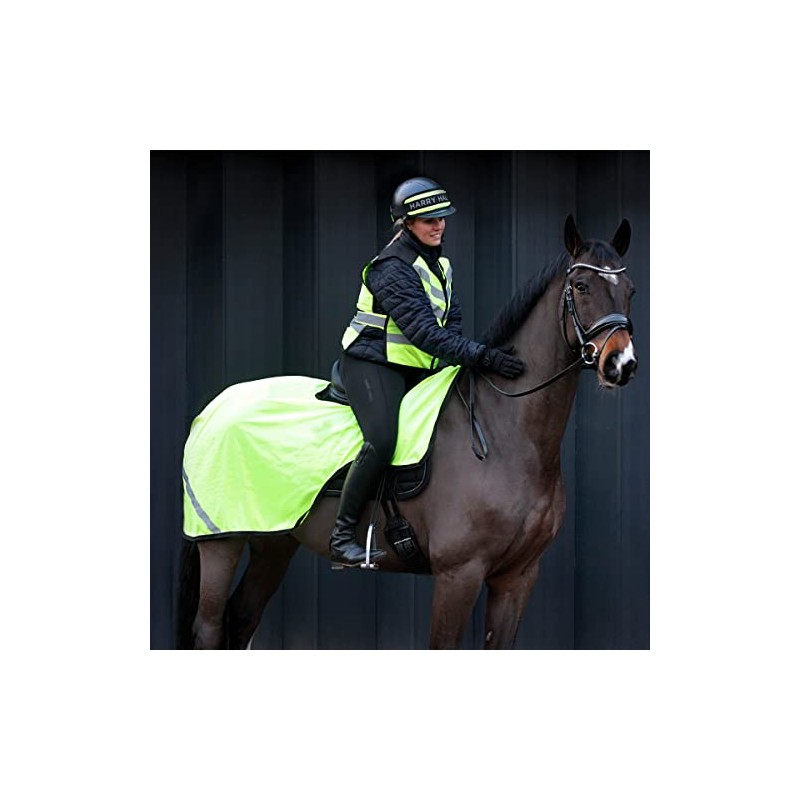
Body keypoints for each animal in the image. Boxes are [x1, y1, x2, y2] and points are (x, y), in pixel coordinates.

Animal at [177, 214, 639, 649]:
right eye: (580, 286)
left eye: (630, 290)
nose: (621, 364)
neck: (504, 436)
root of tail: (211, 411)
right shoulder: (459, 574)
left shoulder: (518, 577)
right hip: (222, 543)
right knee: (210, 628)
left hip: (274, 542)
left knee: (242, 618)